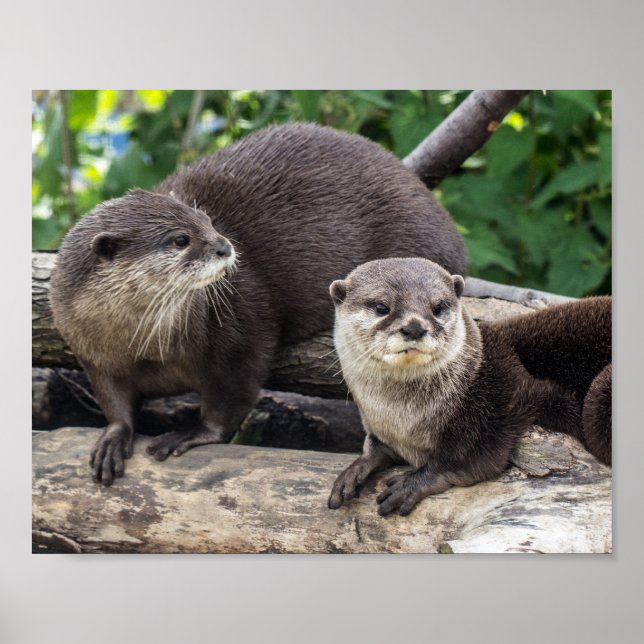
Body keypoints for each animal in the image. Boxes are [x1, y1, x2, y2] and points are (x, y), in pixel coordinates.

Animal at [49, 123, 467, 485]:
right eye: (180, 239)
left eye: (206, 219)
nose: (225, 245)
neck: (147, 346)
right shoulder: (93, 355)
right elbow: (114, 401)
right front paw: (112, 439)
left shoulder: (238, 333)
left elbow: (233, 393)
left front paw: (191, 433)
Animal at [327, 258, 611, 516]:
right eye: (381, 307)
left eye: (437, 307)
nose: (414, 327)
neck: (404, 419)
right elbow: (376, 447)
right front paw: (358, 467)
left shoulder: (500, 394)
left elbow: (467, 456)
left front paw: (415, 482)